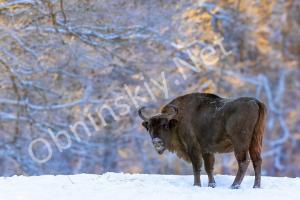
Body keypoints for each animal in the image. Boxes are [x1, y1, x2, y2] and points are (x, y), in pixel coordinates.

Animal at [137, 92, 266, 189]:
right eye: (150, 127)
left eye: (164, 125)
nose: (156, 141)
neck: (176, 121)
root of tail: (255, 102)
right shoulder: (206, 150)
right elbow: (209, 167)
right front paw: (211, 185)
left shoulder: (192, 147)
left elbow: (197, 166)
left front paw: (197, 185)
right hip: (255, 141)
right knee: (257, 160)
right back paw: (256, 186)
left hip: (240, 143)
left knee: (244, 161)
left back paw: (234, 186)